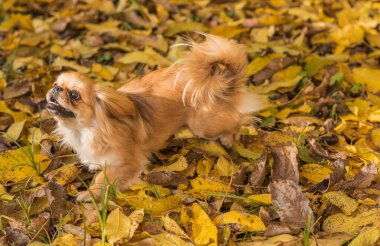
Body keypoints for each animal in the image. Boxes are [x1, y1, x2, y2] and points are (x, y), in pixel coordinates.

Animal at [45, 34, 268, 202]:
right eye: (56, 84)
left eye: (75, 95)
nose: (56, 89)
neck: (86, 130)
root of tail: (220, 82)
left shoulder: (128, 164)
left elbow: (103, 177)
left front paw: (89, 194)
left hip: (204, 126)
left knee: (238, 119)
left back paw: (231, 137)